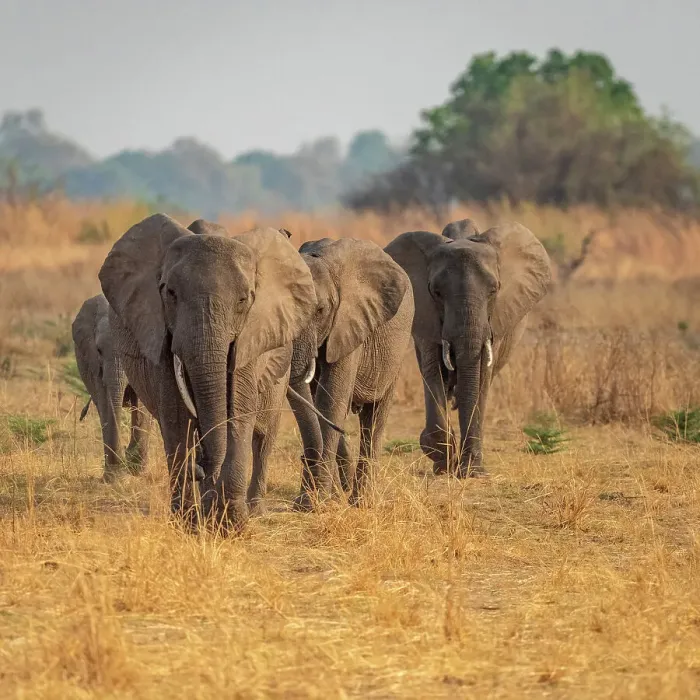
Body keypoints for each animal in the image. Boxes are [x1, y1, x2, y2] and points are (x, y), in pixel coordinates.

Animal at [98, 213, 321, 531]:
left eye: (244, 300)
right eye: (170, 293)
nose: (201, 468)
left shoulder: (252, 334)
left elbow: (238, 410)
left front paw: (231, 525)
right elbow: (177, 415)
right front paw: (190, 523)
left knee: (264, 436)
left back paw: (248, 508)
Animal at [286, 237, 415, 509]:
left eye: (320, 310)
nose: (304, 459)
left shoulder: (350, 324)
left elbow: (331, 399)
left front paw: (313, 504)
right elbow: (320, 401)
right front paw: (318, 501)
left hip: (396, 352)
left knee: (374, 418)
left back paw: (361, 502)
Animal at [385, 221, 552, 477]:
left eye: (494, 290)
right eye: (436, 292)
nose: (459, 467)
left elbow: (481, 376)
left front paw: (472, 472)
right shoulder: (426, 315)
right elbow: (433, 371)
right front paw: (443, 460)